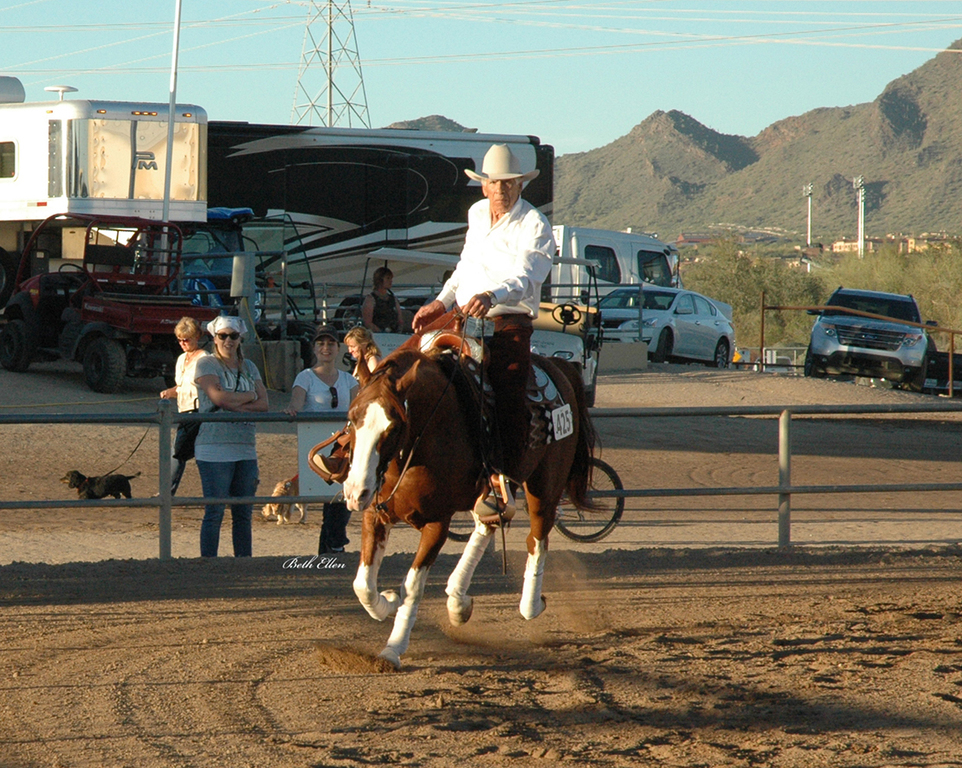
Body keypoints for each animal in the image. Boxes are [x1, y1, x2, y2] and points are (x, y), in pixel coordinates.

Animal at [342, 343, 595, 669]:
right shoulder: (375, 513)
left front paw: (393, 648)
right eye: (352, 419)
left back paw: (531, 604)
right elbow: (363, 584)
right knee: (487, 523)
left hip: (544, 487)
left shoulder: (437, 523)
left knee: (536, 538)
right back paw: (457, 599)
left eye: (393, 427)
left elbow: (412, 586)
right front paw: (387, 601)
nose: (355, 491)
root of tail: (557, 367)